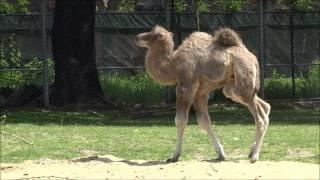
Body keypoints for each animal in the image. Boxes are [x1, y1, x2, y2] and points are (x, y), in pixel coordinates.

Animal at [136, 25, 272, 163]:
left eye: (154, 35)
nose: (137, 37)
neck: (172, 66)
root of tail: (252, 57)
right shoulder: (200, 92)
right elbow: (204, 121)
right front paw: (221, 154)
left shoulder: (186, 87)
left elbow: (180, 120)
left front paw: (174, 156)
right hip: (232, 87)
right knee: (264, 106)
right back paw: (251, 151)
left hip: (243, 78)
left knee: (260, 118)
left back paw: (254, 156)